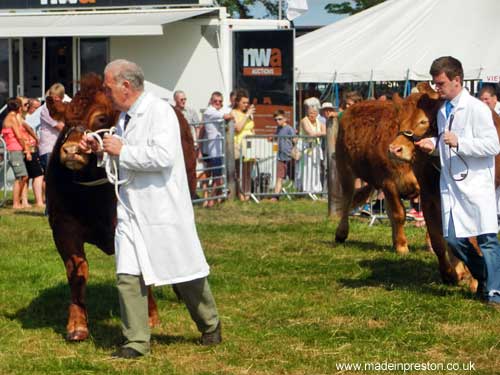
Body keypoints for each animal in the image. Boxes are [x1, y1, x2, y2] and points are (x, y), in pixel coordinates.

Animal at [334, 87, 462, 282]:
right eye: (399, 121)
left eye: (424, 121)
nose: (394, 149)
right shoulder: (389, 183)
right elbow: (399, 214)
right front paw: (402, 246)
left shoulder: (426, 187)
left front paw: (427, 245)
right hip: (345, 168)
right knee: (348, 199)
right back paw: (341, 233)